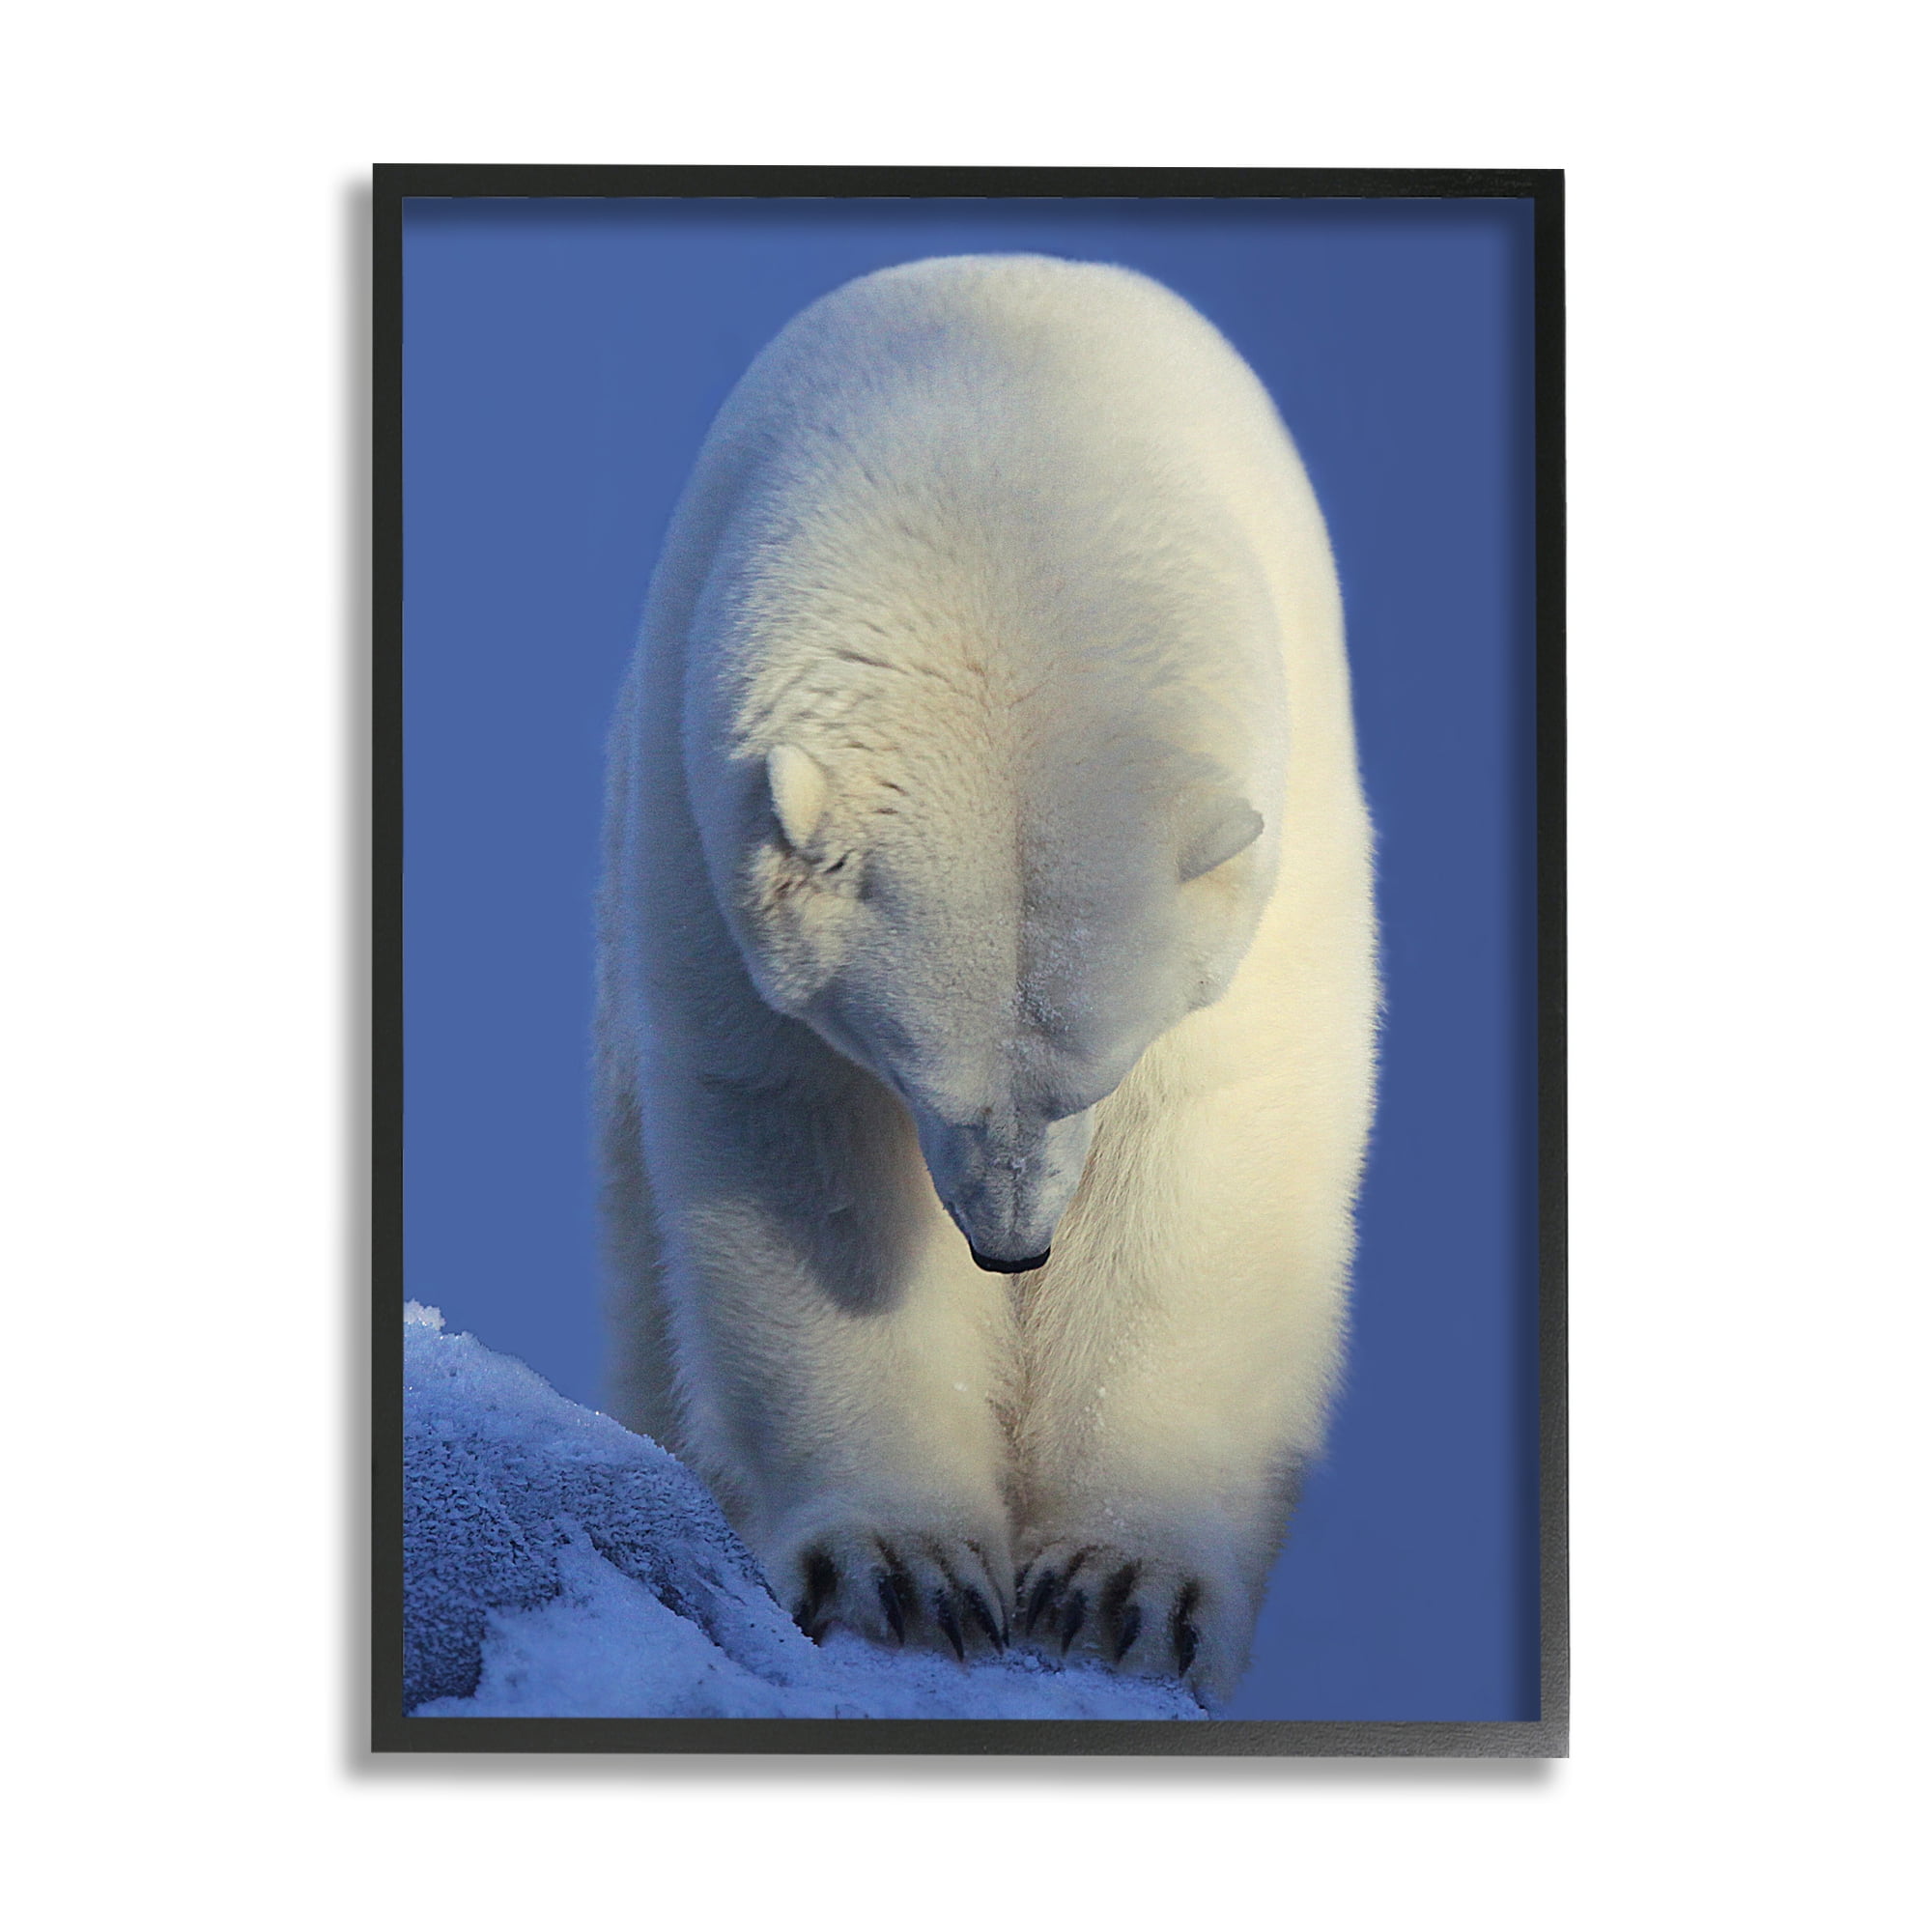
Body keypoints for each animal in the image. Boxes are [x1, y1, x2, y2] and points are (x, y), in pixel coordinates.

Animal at [596, 254, 1377, 1706]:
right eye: (914, 1069)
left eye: (1094, 1071)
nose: (1012, 1247)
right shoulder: (700, 837)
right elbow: (800, 1156)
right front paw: (902, 1574)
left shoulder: (1277, 846)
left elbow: (1213, 1152)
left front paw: (1122, 1592)